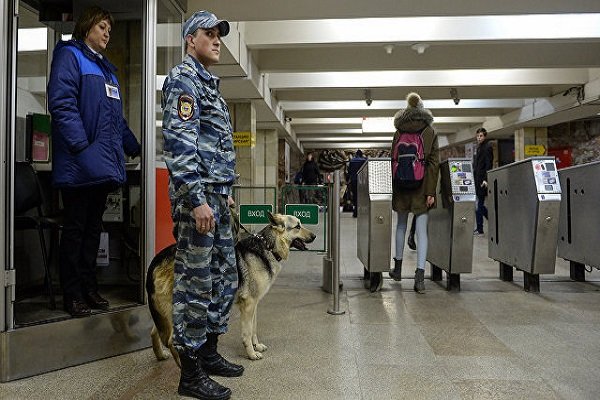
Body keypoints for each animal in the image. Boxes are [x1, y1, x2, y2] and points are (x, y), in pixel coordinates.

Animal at [147, 212, 316, 366]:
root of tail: (158, 258)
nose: (314, 236)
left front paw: (256, 346)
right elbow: (247, 332)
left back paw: (161, 356)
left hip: (163, 312)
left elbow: (254, 328)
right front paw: (251, 354)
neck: (268, 246)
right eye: (297, 226)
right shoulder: (248, 305)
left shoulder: (254, 305)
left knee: (155, 331)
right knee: (171, 341)